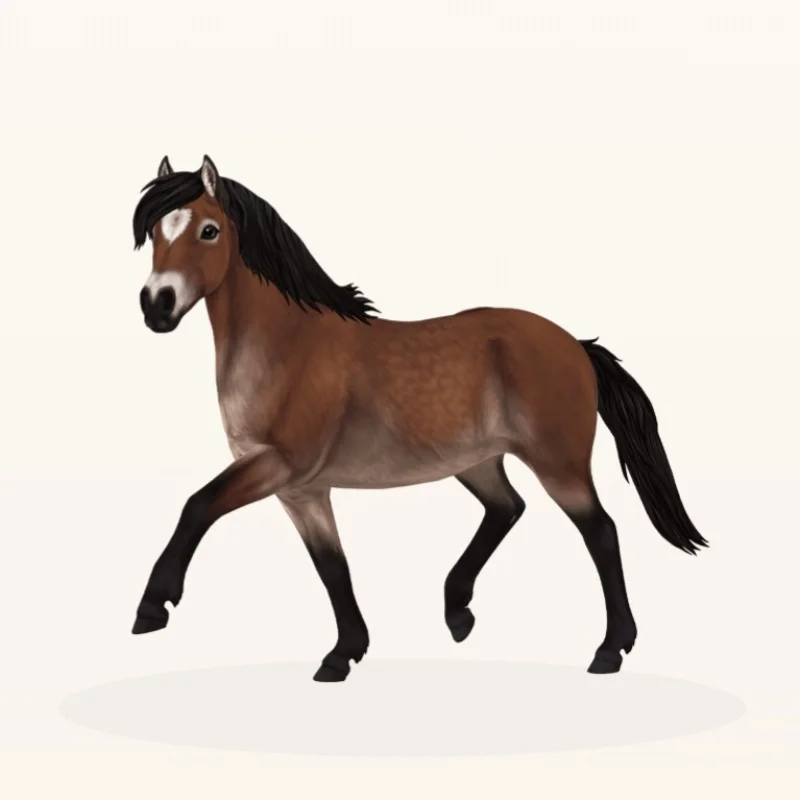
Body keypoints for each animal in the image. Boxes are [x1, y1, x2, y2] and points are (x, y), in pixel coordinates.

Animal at [130, 154, 708, 683]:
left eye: (209, 230)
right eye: (156, 231)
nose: (156, 305)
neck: (287, 346)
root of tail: (577, 346)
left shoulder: (278, 466)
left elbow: (197, 506)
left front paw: (153, 607)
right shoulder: (302, 490)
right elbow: (332, 566)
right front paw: (343, 654)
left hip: (558, 465)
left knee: (600, 532)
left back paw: (609, 650)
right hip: (476, 461)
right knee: (507, 508)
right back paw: (458, 611)